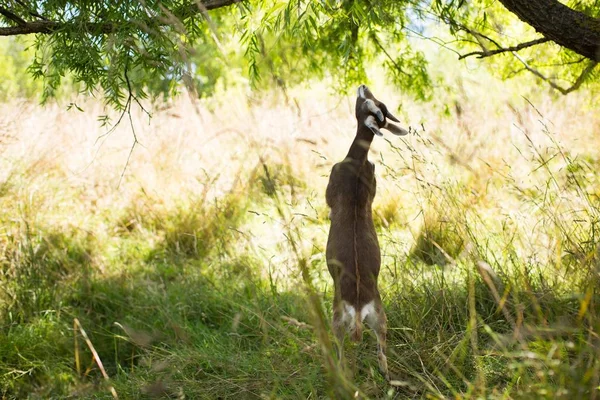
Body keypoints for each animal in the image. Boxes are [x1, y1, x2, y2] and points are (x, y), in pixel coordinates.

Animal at [326, 84, 410, 378]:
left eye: (365, 102)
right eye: (375, 101)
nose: (362, 86)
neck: (357, 163)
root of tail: (360, 305)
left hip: (338, 316)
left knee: (341, 344)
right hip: (381, 317)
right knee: (382, 351)